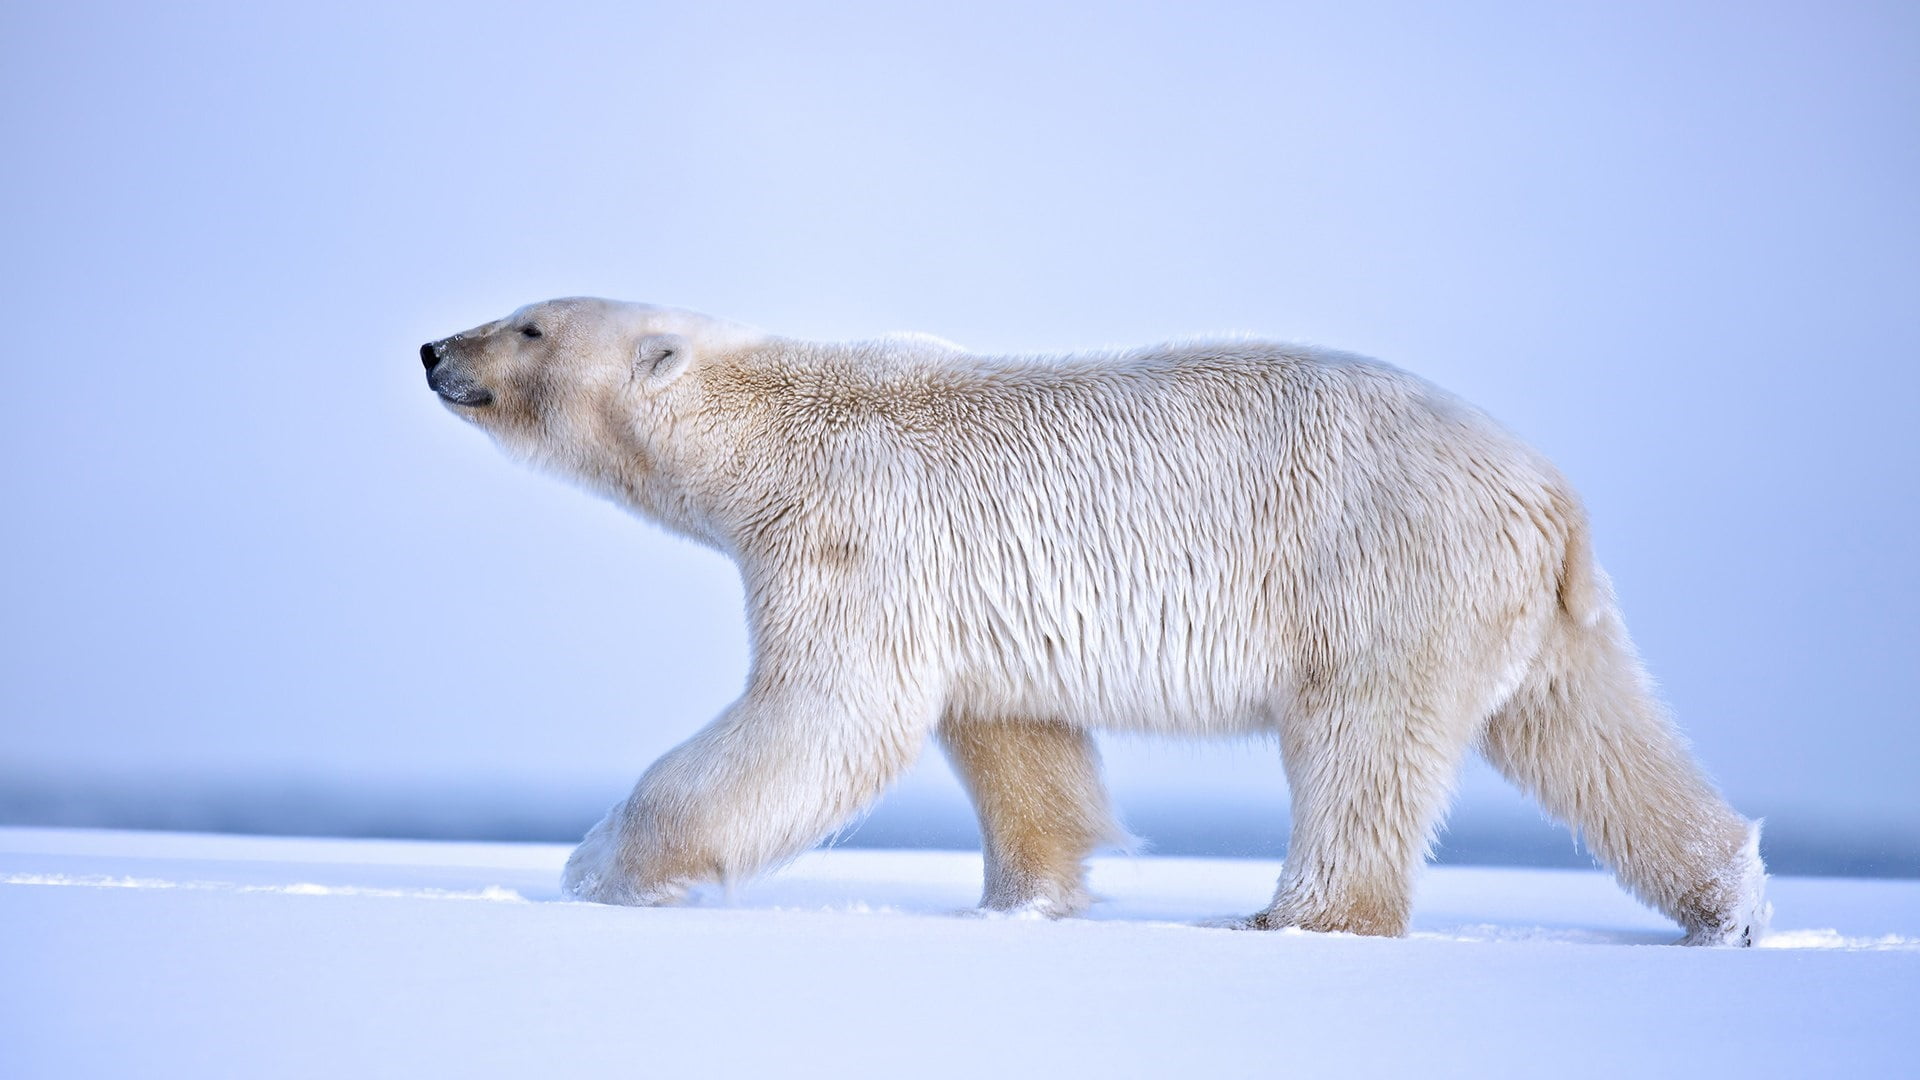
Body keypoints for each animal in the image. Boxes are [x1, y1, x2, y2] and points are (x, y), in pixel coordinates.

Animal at [421, 297, 1769, 945]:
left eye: (532, 321)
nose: (436, 348)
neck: (774, 425)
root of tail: (1550, 489)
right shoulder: (964, 594)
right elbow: (1017, 739)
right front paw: (1024, 902)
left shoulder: (855, 533)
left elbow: (823, 714)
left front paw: (604, 866)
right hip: (1530, 606)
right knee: (1593, 732)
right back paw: (1731, 905)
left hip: (1385, 564)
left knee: (1364, 743)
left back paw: (1293, 916)